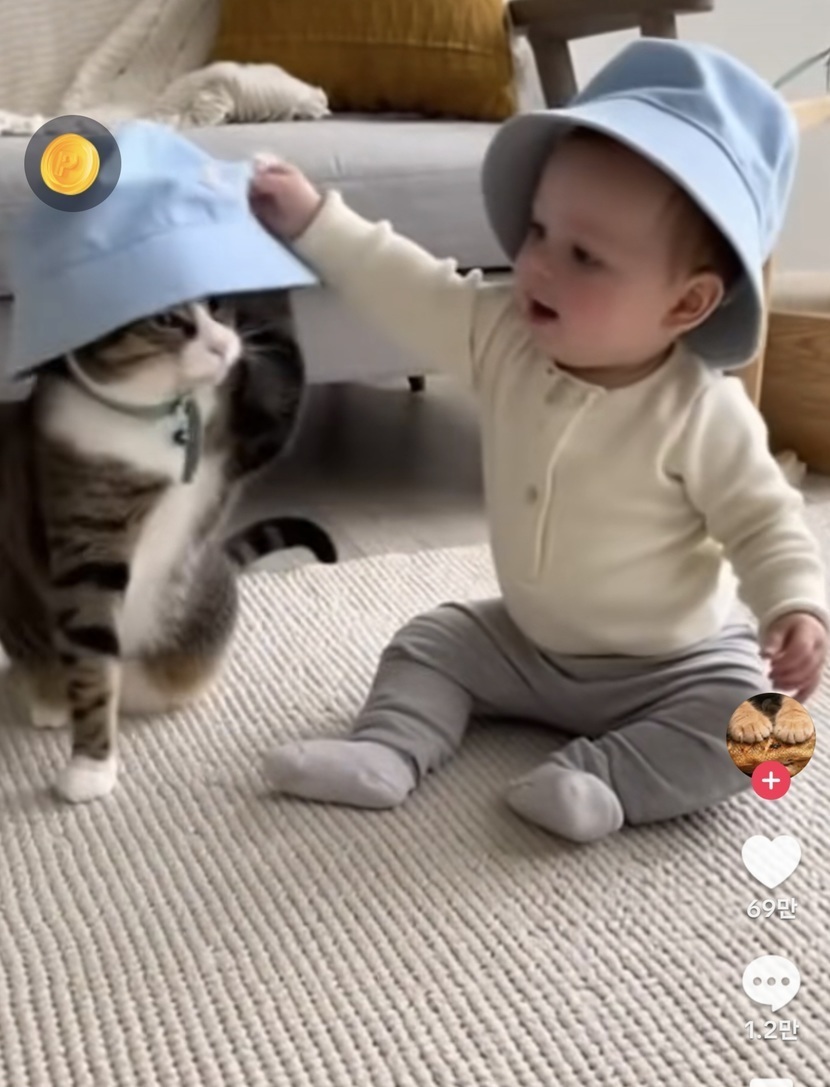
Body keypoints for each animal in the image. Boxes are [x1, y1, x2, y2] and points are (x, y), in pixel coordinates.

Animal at [0, 293, 335, 804]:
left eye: (218, 307)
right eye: (165, 319)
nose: (222, 345)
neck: (155, 409)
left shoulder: (245, 433)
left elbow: (283, 382)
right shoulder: (88, 536)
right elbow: (93, 663)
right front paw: (90, 765)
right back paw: (49, 698)